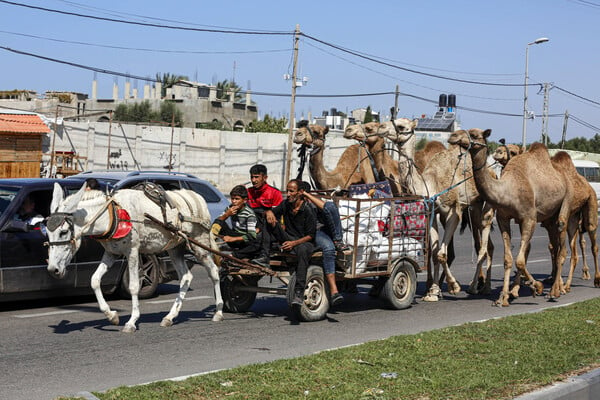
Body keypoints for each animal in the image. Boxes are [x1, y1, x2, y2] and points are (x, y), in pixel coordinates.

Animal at [47, 183, 224, 332]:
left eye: (63, 232)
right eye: (47, 231)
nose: (53, 269)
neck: (113, 214)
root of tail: (198, 197)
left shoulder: (132, 251)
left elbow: (133, 286)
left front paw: (131, 321)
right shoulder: (111, 253)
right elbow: (94, 280)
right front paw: (111, 315)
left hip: (200, 244)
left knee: (214, 272)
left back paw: (219, 311)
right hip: (175, 248)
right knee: (186, 277)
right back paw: (170, 317)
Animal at [458, 128, 568, 306]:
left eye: (474, 135)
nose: (498, 152)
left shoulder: (529, 219)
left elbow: (520, 259)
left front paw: (535, 286)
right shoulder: (503, 218)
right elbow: (508, 258)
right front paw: (504, 296)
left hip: (564, 207)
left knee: (562, 246)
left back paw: (556, 290)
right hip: (548, 219)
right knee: (554, 246)